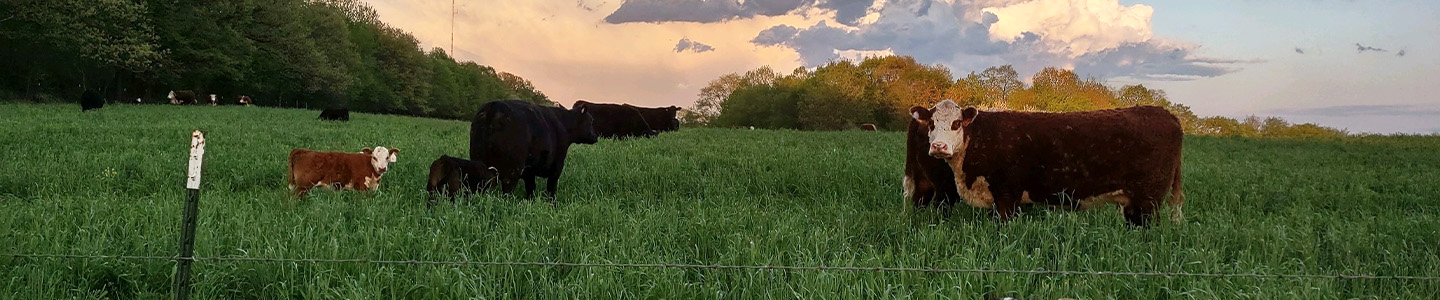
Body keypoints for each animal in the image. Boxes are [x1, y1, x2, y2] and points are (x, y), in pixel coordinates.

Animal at [469, 99, 599, 203]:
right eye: (591, 121)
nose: (596, 136)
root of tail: (494, 106)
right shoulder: (557, 166)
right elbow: (551, 187)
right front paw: (552, 204)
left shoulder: (529, 171)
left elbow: (530, 188)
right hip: (512, 170)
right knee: (507, 190)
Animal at [904, 99, 1186, 226]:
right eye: (931, 123)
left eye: (956, 124)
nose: (938, 147)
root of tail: (1166, 114)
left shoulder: (1007, 195)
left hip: (1148, 201)